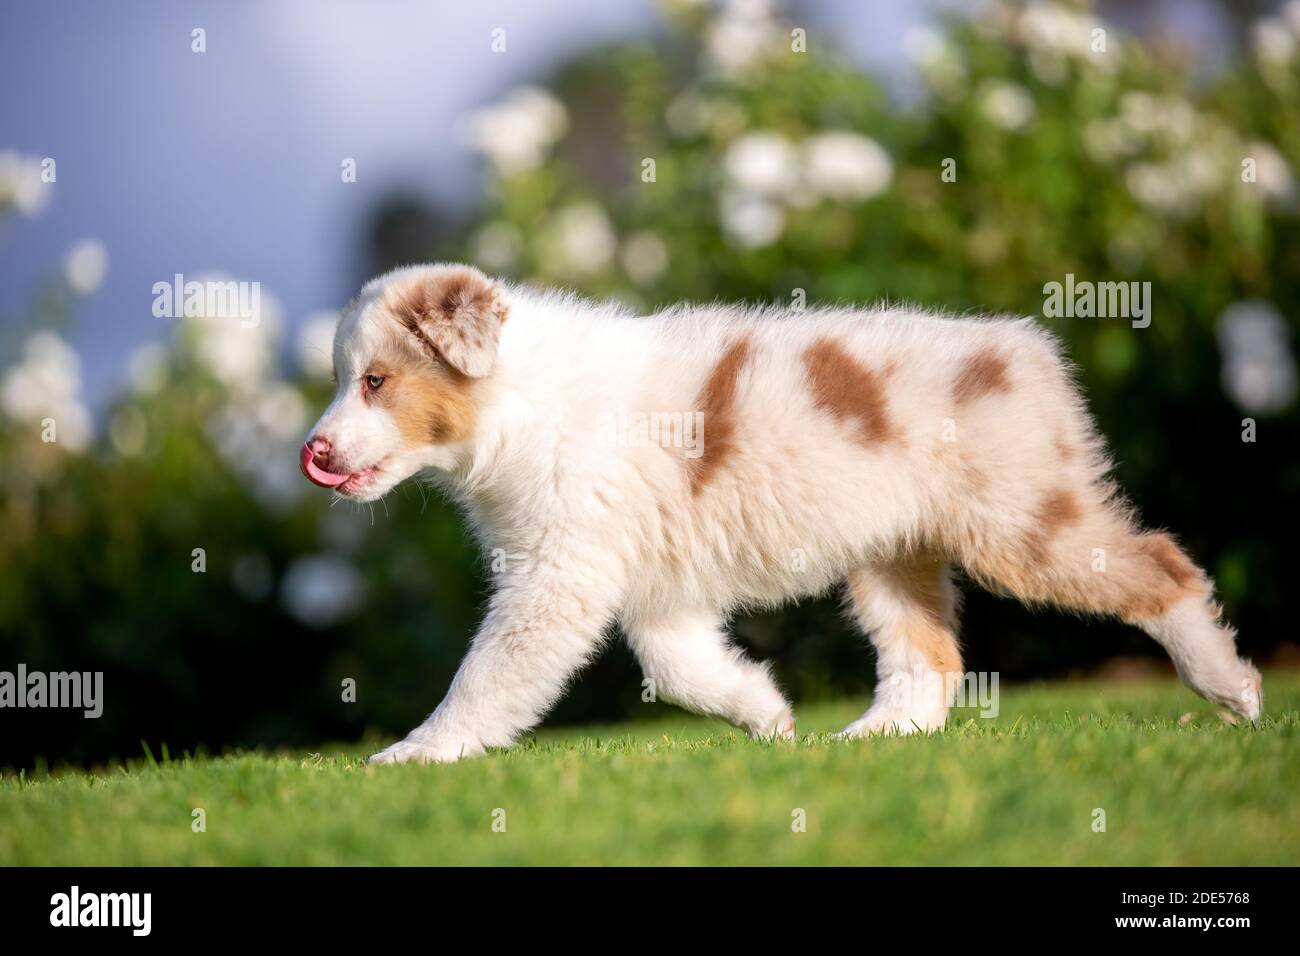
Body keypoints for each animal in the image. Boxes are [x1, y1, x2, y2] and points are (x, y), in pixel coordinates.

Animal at [301, 260, 1258, 764]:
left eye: (375, 381)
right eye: (346, 380)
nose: (315, 451)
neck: (515, 402)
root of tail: (1026, 348)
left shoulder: (556, 575)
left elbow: (487, 675)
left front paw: (415, 755)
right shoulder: (652, 581)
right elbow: (677, 666)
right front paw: (766, 714)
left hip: (1020, 521)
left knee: (1165, 567)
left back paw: (1231, 689)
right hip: (893, 547)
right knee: (930, 656)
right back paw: (873, 736)